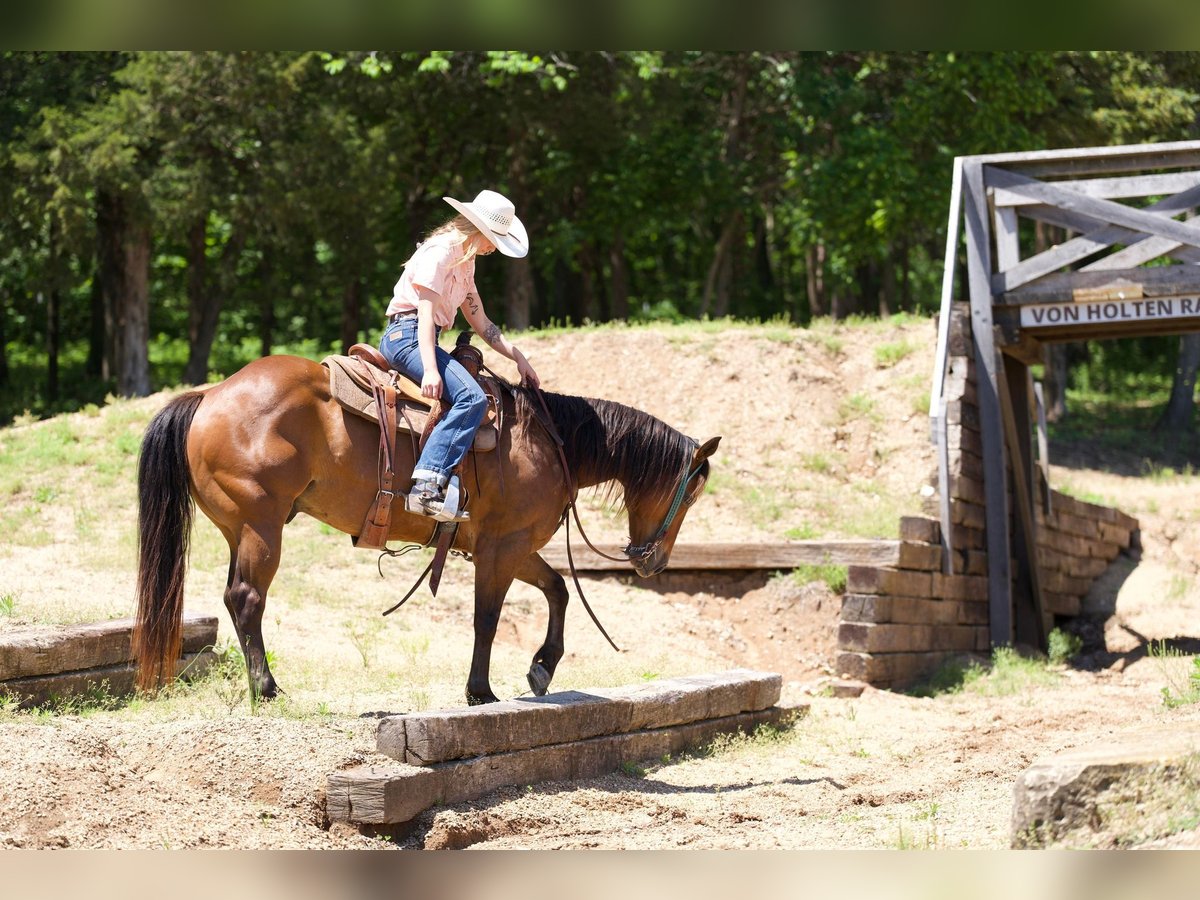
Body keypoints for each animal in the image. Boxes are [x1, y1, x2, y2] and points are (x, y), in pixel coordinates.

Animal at [136, 355, 720, 710]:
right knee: (247, 598)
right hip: (261, 527)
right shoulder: (503, 548)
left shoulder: (508, 545)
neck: (548, 443)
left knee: (235, 597)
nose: (652, 561)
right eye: (691, 494)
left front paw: (542, 669)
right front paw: (480, 692)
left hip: (241, 529)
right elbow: (487, 618)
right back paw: (268, 687)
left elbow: (557, 590)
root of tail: (210, 395)